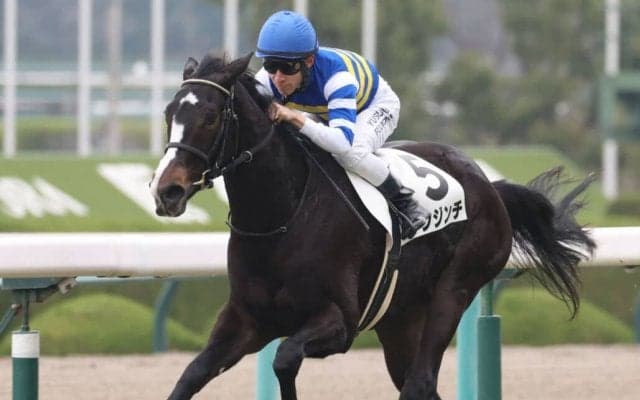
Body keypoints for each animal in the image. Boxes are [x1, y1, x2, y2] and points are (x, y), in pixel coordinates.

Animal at [150, 52, 595, 400]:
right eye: (170, 114)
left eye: (210, 117)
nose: (166, 190)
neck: (280, 220)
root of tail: (489, 186)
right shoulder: (246, 321)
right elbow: (190, 376)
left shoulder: (338, 322)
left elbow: (285, 359)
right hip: (401, 317)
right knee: (417, 383)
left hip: (457, 287)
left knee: (419, 382)